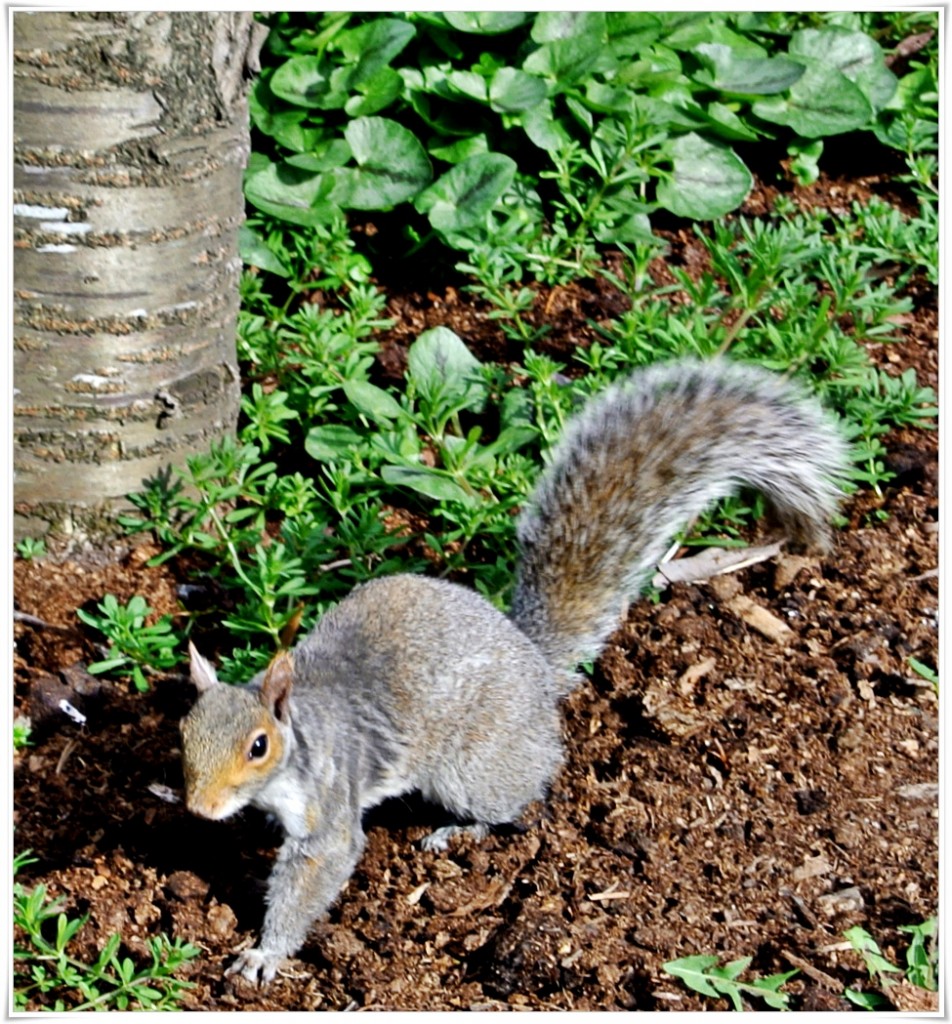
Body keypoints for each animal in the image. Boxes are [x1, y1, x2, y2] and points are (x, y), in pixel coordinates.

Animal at [178, 354, 847, 983]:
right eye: (184, 734)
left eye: (259, 746)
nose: (200, 810)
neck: (299, 740)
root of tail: (534, 664)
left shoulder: (329, 806)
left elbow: (316, 871)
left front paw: (265, 953)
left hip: (473, 766)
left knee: (522, 798)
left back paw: (462, 832)